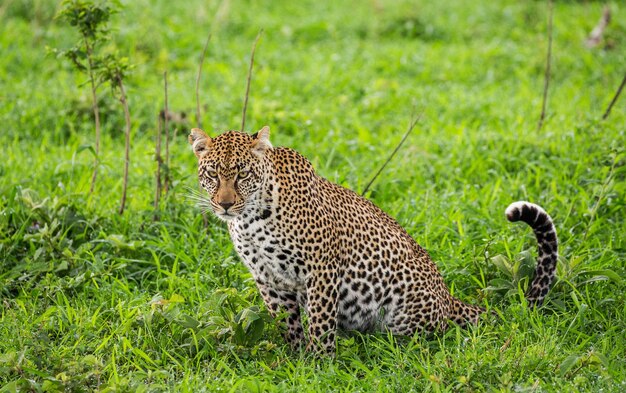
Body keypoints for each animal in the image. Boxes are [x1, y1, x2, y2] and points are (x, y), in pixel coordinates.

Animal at [185, 126, 556, 352]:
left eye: (243, 174)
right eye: (212, 173)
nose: (225, 204)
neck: (251, 221)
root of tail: (449, 298)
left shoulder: (321, 270)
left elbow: (320, 323)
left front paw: (318, 363)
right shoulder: (268, 279)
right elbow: (286, 323)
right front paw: (295, 358)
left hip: (402, 310)